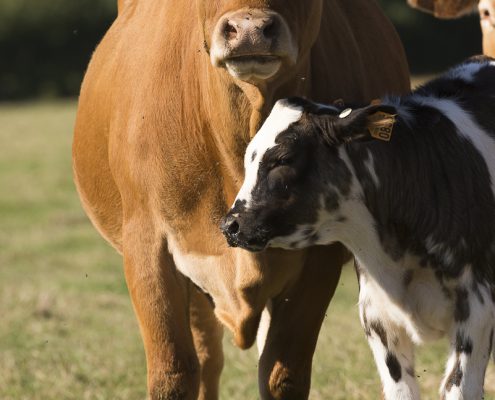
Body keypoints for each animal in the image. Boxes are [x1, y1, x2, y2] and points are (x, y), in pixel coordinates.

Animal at [71, 1, 408, 398]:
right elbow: (174, 373)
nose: (249, 30)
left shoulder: (318, 259)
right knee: (206, 359)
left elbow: (282, 374)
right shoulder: (148, 245)